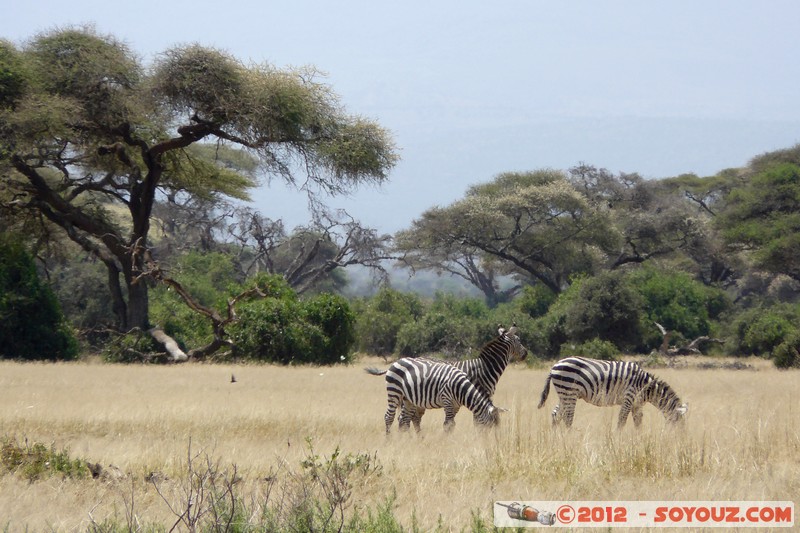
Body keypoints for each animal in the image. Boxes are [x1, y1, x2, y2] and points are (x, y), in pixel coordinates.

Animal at [368, 358, 504, 432]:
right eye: (490, 426)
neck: (460, 388)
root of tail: (395, 362)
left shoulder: (455, 405)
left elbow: (450, 424)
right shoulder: (447, 399)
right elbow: (449, 425)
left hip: (408, 399)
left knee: (404, 420)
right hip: (394, 391)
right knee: (389, 417)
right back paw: (389, 441)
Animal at [536, 358, 688, 428]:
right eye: (680, 421)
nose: (680, 439)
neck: (646, 386)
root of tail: (554, 366)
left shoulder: (637, 403)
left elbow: (638, 422)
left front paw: (640, 441)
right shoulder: (629, 396)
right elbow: (622, 420)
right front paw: (618, 439)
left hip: (564, 393)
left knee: (556, 414)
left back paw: (557, 439)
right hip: (569, 391)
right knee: (567, 417)